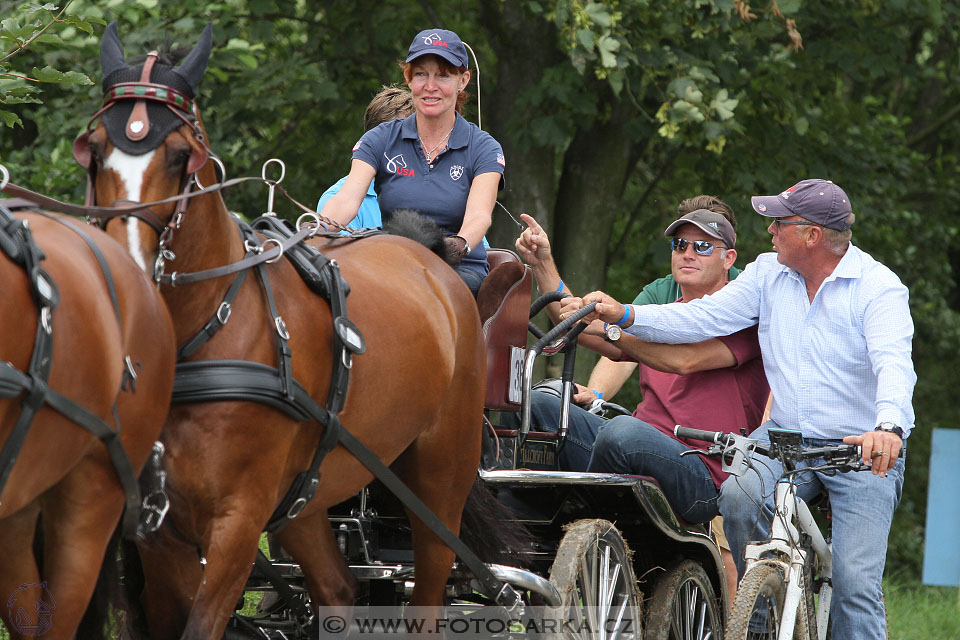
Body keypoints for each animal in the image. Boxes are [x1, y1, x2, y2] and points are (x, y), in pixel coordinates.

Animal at [77, 22, 488, 636]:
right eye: (96, 148)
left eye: (181, 155)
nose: (128, 261)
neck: (202, 334)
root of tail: (428, 256)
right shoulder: (159, 530)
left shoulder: (238, 521)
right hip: (308, 496)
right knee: (338, 588)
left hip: (441, 475)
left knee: (431, 589)